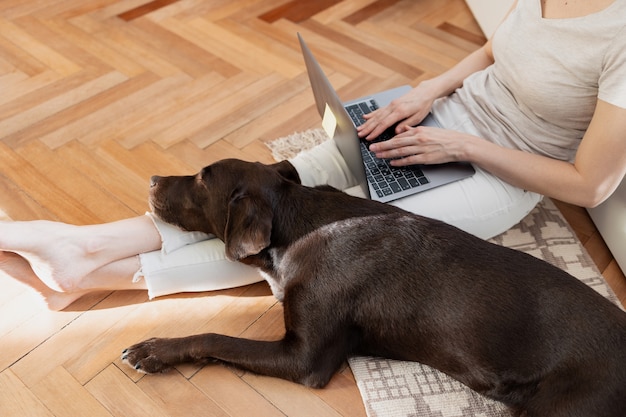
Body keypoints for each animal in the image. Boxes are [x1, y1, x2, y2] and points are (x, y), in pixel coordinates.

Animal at [123, 158, 624, 416]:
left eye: (202, 178)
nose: (151, 178)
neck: (297, 222)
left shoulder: (303, 357)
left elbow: (215, 336)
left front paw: (155, 349)